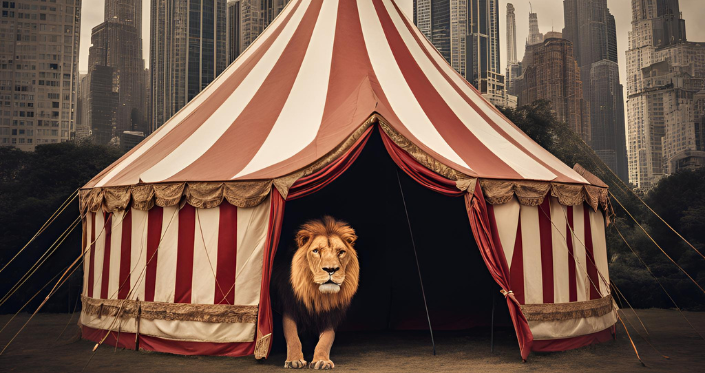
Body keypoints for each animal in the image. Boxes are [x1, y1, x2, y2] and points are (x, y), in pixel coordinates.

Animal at [270, 215, 358, 370]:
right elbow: (292, 336)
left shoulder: (330, 314)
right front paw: (294, 360)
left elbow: (326, 340)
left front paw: (322, 360)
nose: (331, 269)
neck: (317, 294)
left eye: (341, 252)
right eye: (316, 251)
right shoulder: (290, 308)